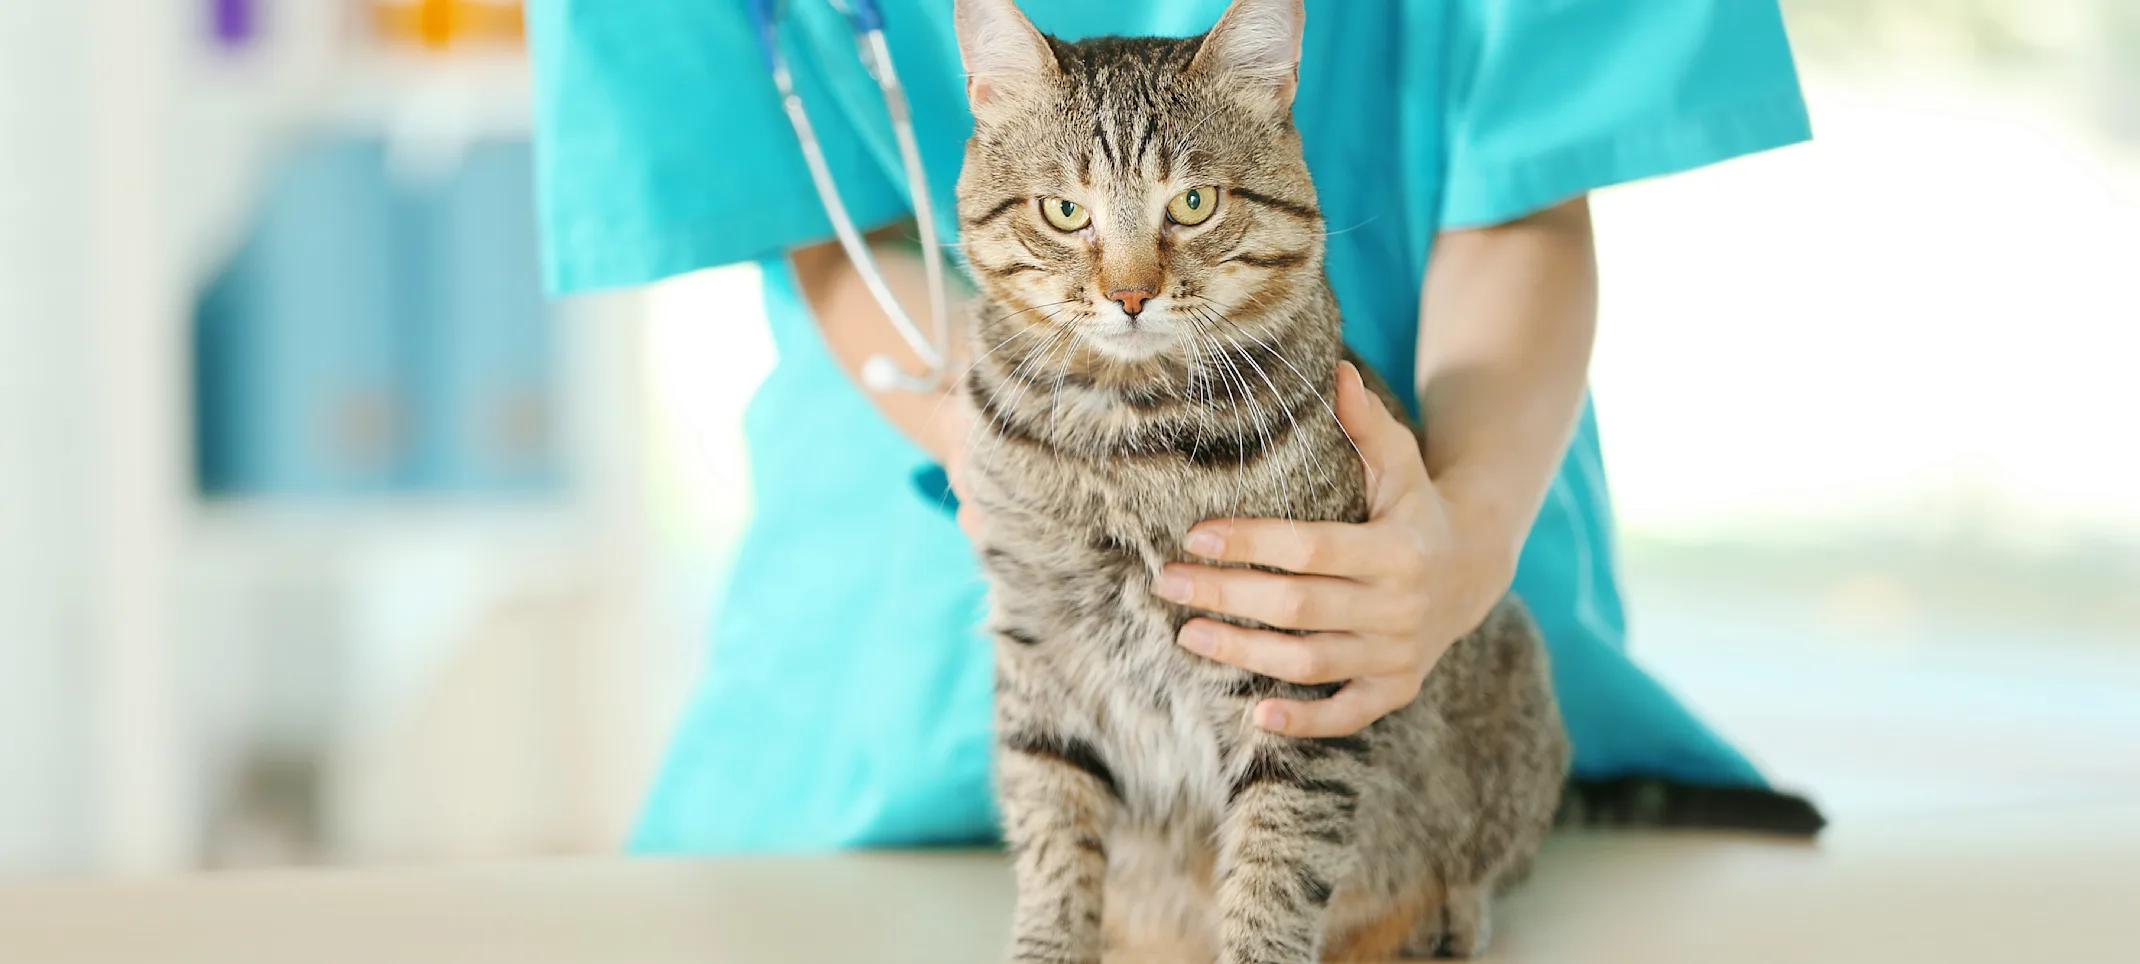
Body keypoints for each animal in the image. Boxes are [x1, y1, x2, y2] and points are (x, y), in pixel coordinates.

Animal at [963, 1, 1566, 964]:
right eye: (1064, 212)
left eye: (1193, 203)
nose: (1129, 295)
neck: (1126, 439)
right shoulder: (1040, 653)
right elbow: (1054, 845)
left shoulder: (1302, 685)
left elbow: (1276, 871)